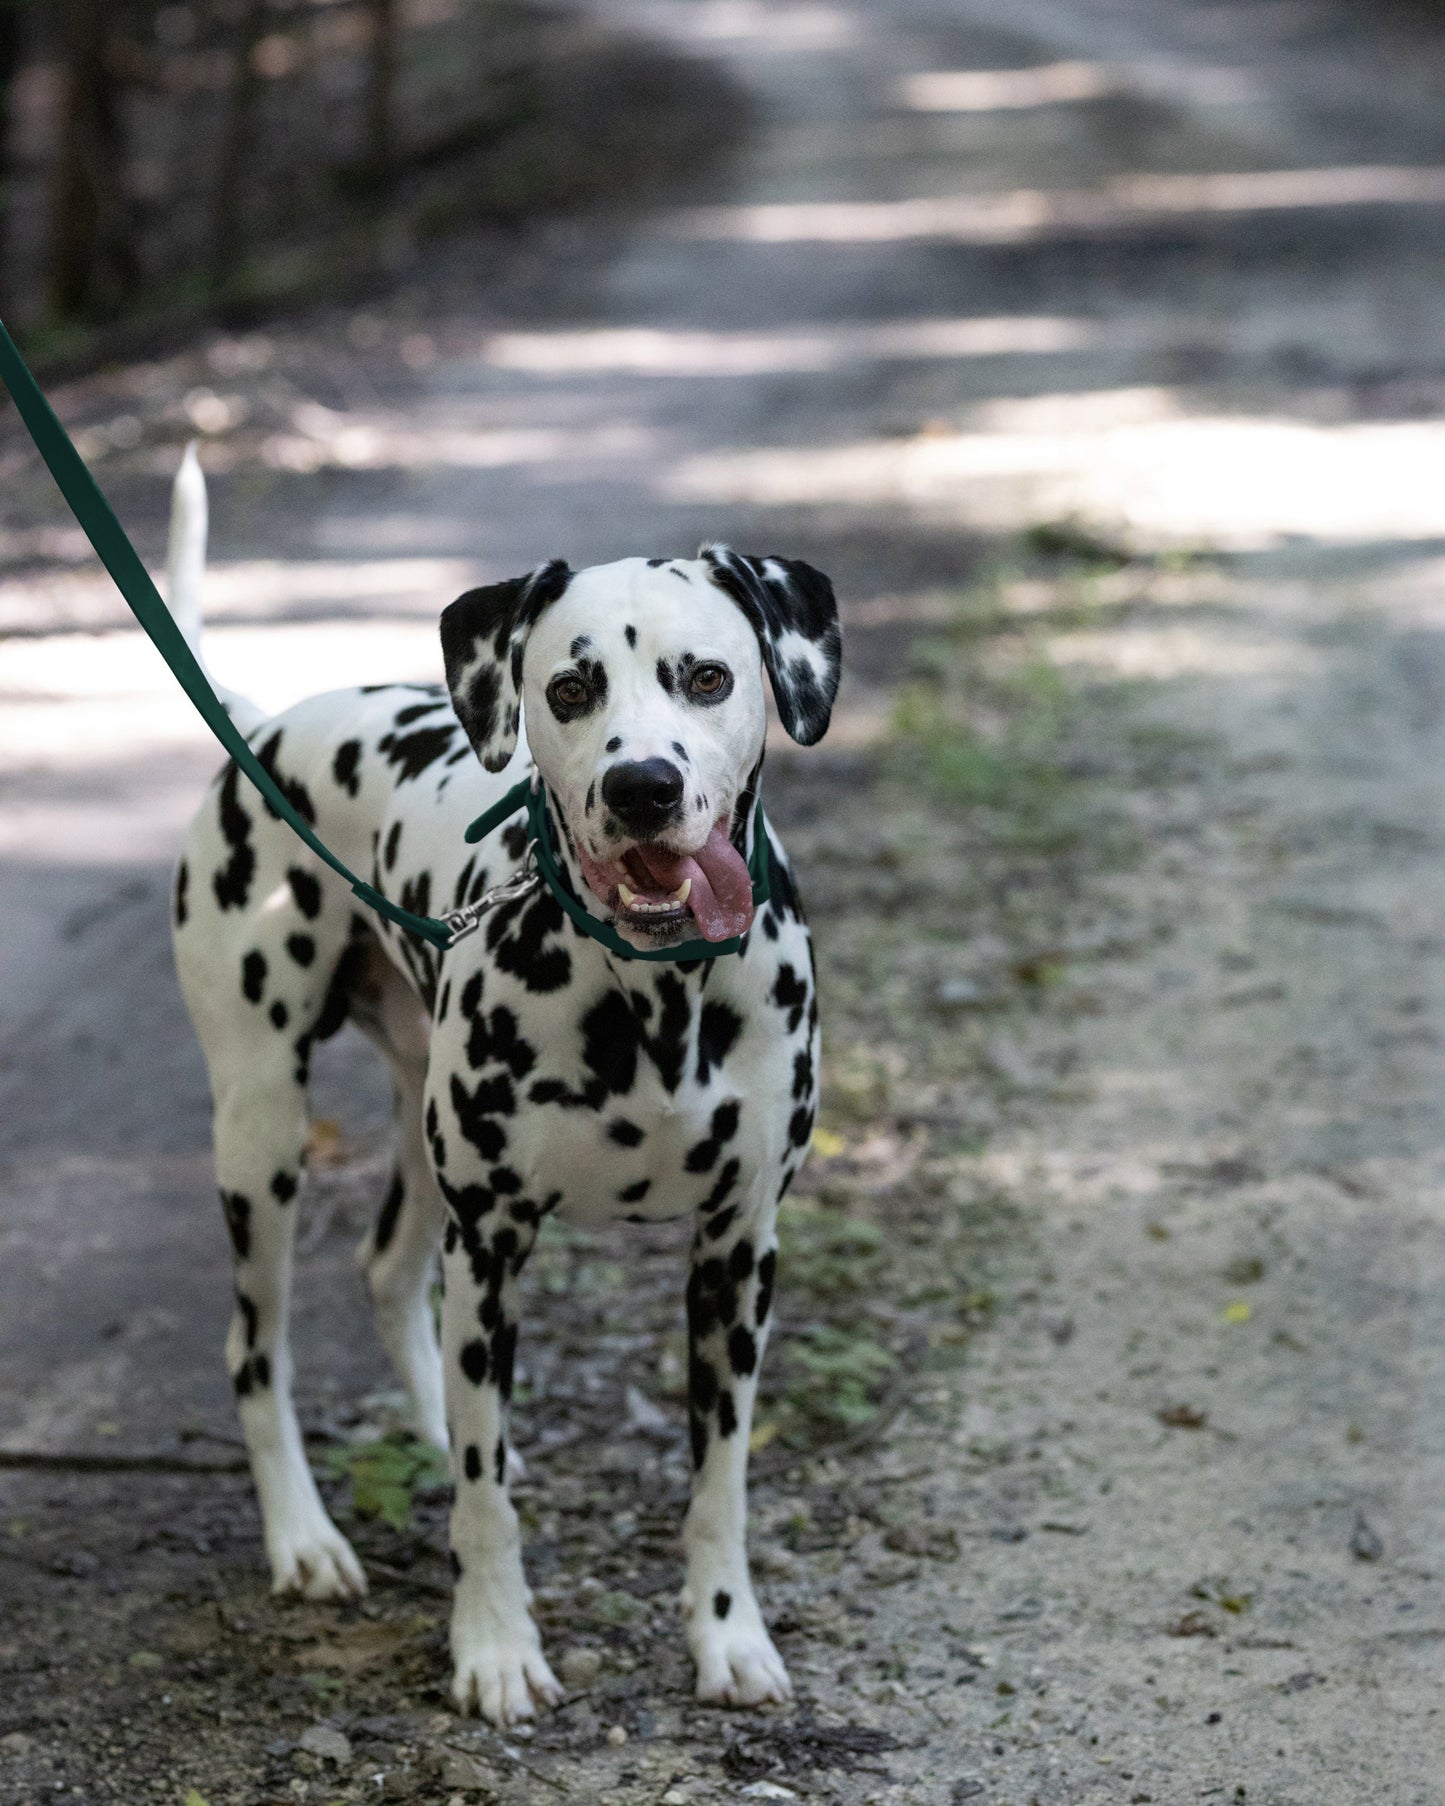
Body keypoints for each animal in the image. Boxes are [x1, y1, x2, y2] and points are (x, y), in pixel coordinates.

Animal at [166, 451, 845, 1719]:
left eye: (708, 676)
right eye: (569, 688)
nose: (642, 788)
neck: (651, 991)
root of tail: (266, 723)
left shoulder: (738, 1253)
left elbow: (718, 1484)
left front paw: (727, 1635)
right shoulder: (490, 1247)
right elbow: (484, 1506)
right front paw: (490, 1648)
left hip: (412, 1128)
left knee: (386, 1273)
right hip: (262, 1134)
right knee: (254, 1350)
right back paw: (304, 1539)